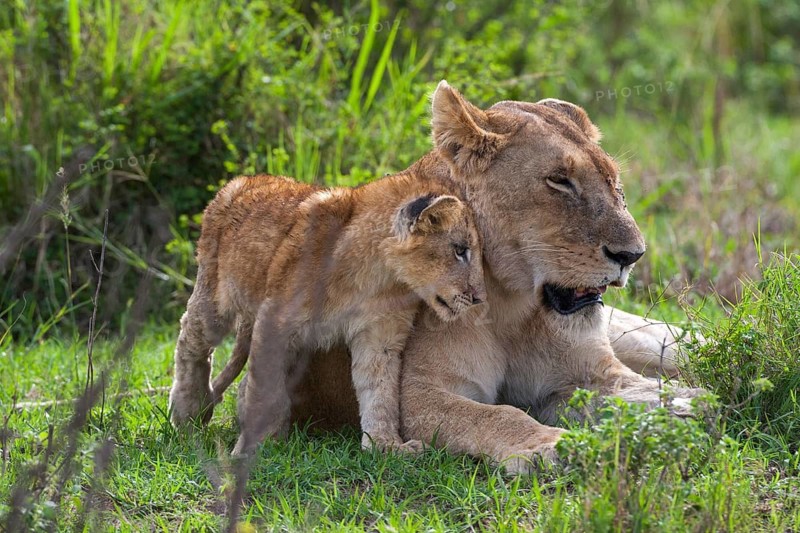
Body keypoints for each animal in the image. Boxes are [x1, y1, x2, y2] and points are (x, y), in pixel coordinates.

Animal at [168, 173, 485, 453]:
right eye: (460, 250)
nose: (479, 298)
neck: (377, 276)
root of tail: (239, 181)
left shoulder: (380, 336)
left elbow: (380, 393)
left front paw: (385, 446)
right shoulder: (275, 321)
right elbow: (266, 391)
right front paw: (255, 446)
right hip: (212, 298)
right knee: (190, 343)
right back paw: (187, 413)